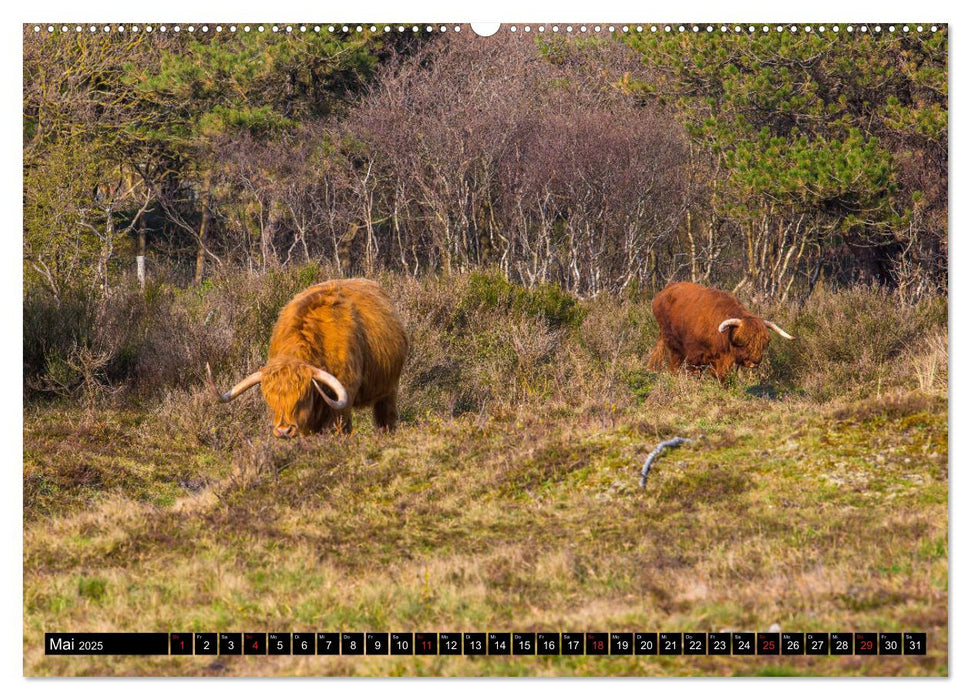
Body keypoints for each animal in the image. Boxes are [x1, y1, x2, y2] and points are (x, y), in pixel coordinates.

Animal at [209, 280, 410, 438]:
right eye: (270, 400)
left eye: (302, 398)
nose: (284, 431)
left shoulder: (342, 405)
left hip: (389, 389)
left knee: (386, 418)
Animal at [648, 284, 792, 386]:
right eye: (743, 341)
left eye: (764, 343)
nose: (754, 361)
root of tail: (664, 292)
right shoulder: (694, 357)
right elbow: (693, 372)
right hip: (674, 346)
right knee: (674, 364)